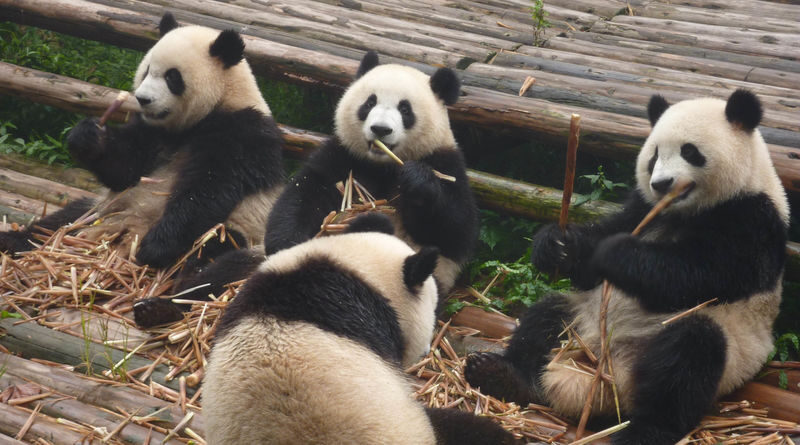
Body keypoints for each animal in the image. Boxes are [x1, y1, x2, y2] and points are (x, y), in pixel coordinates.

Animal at [0, 13, 285, 326]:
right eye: (147, 70)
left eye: (172, 77)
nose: (143, 99)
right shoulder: (152, 133)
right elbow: (125, 169)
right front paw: (88, 137)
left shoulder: (242, 135)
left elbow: (206, 191)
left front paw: (154, 247)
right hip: (98, 212)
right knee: (58, 222)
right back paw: (12, 240)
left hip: (243, 233)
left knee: (217, 263)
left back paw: (163, 308)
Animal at [263, 50, 478, 298]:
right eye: (369, 102)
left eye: (405, 109)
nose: (380, 129)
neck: (382, 165)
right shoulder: (344, 156)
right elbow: (305, 193)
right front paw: (286, 245)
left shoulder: (446, 162)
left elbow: (455, 231)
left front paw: (417, 180)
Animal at [464, 90, 789, 445]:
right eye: (654, 155)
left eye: (690, 151)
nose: (661, 183)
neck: (683, 211)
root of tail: (601, 376)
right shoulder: (642, 207)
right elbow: (600, 248)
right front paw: (556, 245)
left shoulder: (752, 220)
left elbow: (698, 275)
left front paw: (616, 253)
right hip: (580, 321)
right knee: (545, 316)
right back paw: (500, 374)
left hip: (722, 350)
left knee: (688, 358)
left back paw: (645, 430)